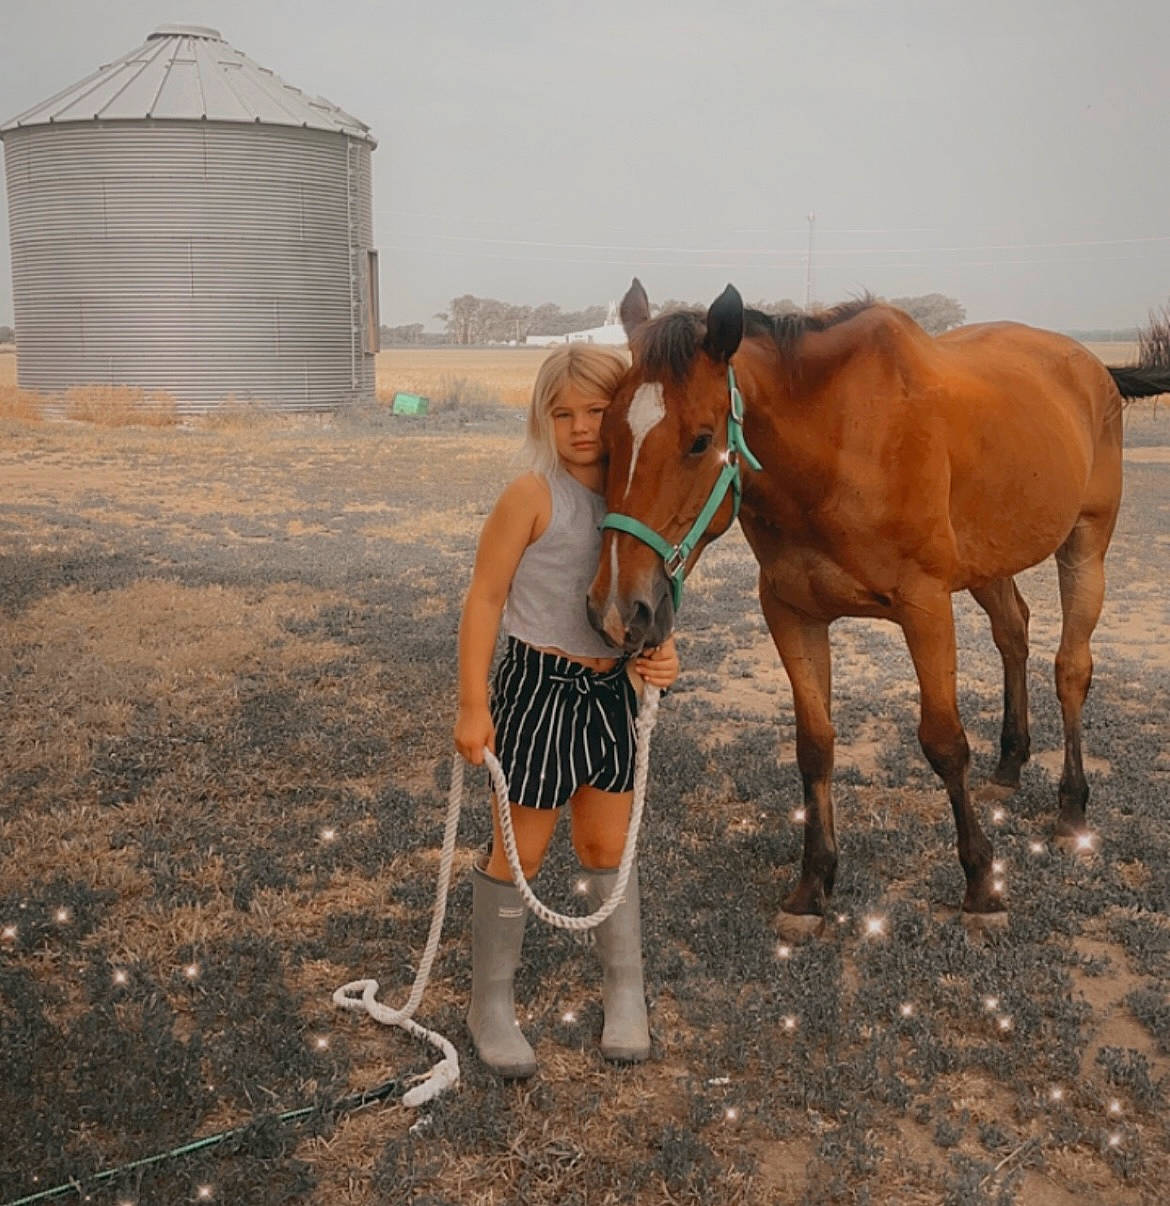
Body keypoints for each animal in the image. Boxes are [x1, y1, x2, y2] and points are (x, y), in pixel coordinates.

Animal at [587, 278, 1170, 936]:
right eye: (606, 438)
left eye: (700, 441)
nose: (618, 609)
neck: (839, 445)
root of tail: (1092, 368)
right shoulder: (791, 613)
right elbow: (814, 746)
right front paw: (813, 885)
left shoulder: (926, 607)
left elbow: (944, 742)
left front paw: (981, 883)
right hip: (988, 561)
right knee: (1013, 633)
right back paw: (1010, 764)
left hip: (1085, 544)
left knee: (1071, 668)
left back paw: (1072, 809)